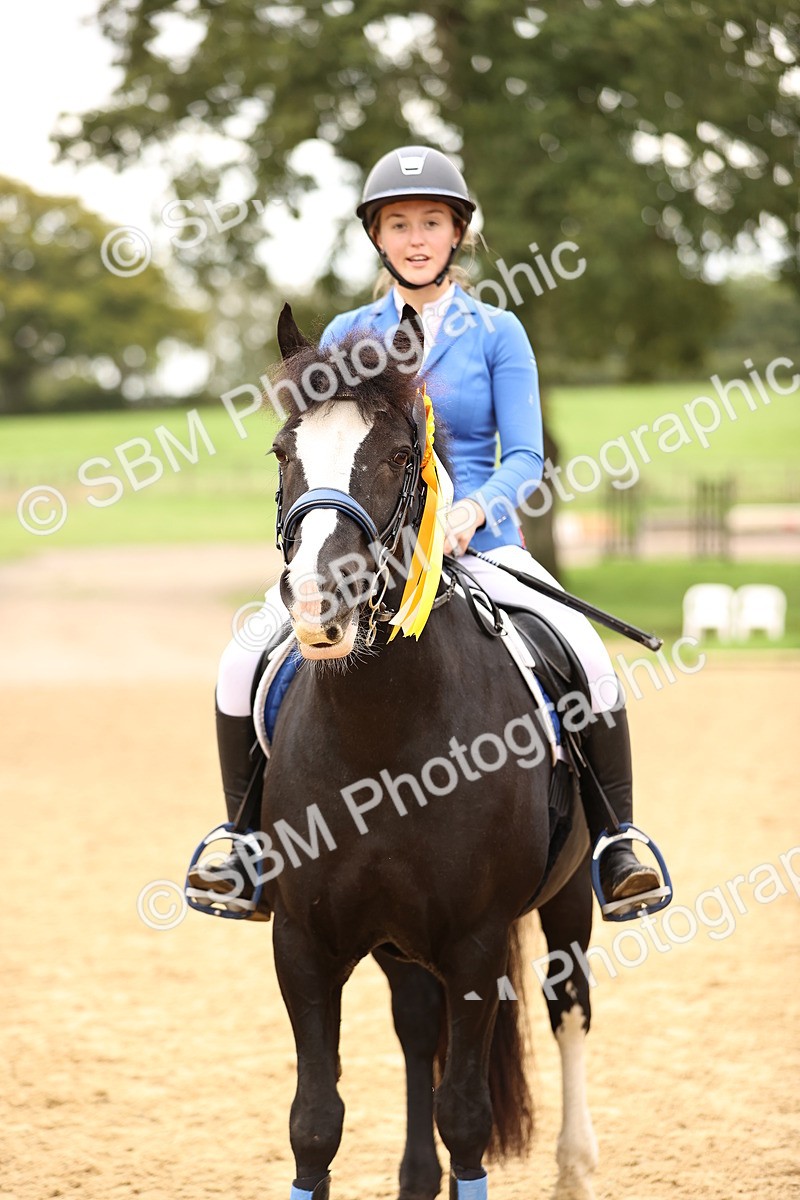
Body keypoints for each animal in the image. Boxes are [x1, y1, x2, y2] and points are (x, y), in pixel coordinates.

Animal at [258, 304, 599, 1200]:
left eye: (401, 454)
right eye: (282, 451)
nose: (320, 600)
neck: (381, 733)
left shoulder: (476, 942)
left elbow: (469, 1116)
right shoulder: (303, 943)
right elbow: (315, 1123)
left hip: (569, 898)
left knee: (570, 1007)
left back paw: (576, 1166)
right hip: (398, 941)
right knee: (418, 1029)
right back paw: (417, 1176)